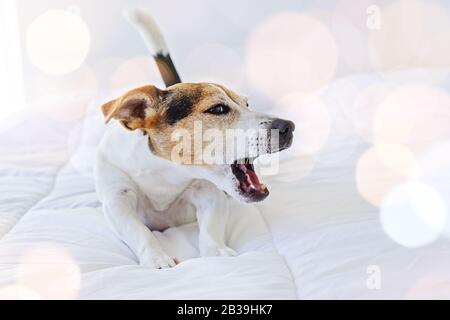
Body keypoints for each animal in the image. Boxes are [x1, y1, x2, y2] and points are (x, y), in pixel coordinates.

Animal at [94, 9, 296, 268]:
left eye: (247, 104)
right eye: (218, 109)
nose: (289, 127)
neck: (168, 173)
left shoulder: (209, 191)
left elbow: (211, 225)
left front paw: (216, 252)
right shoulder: (116, 200)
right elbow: (138, 230)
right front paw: (157, 258)